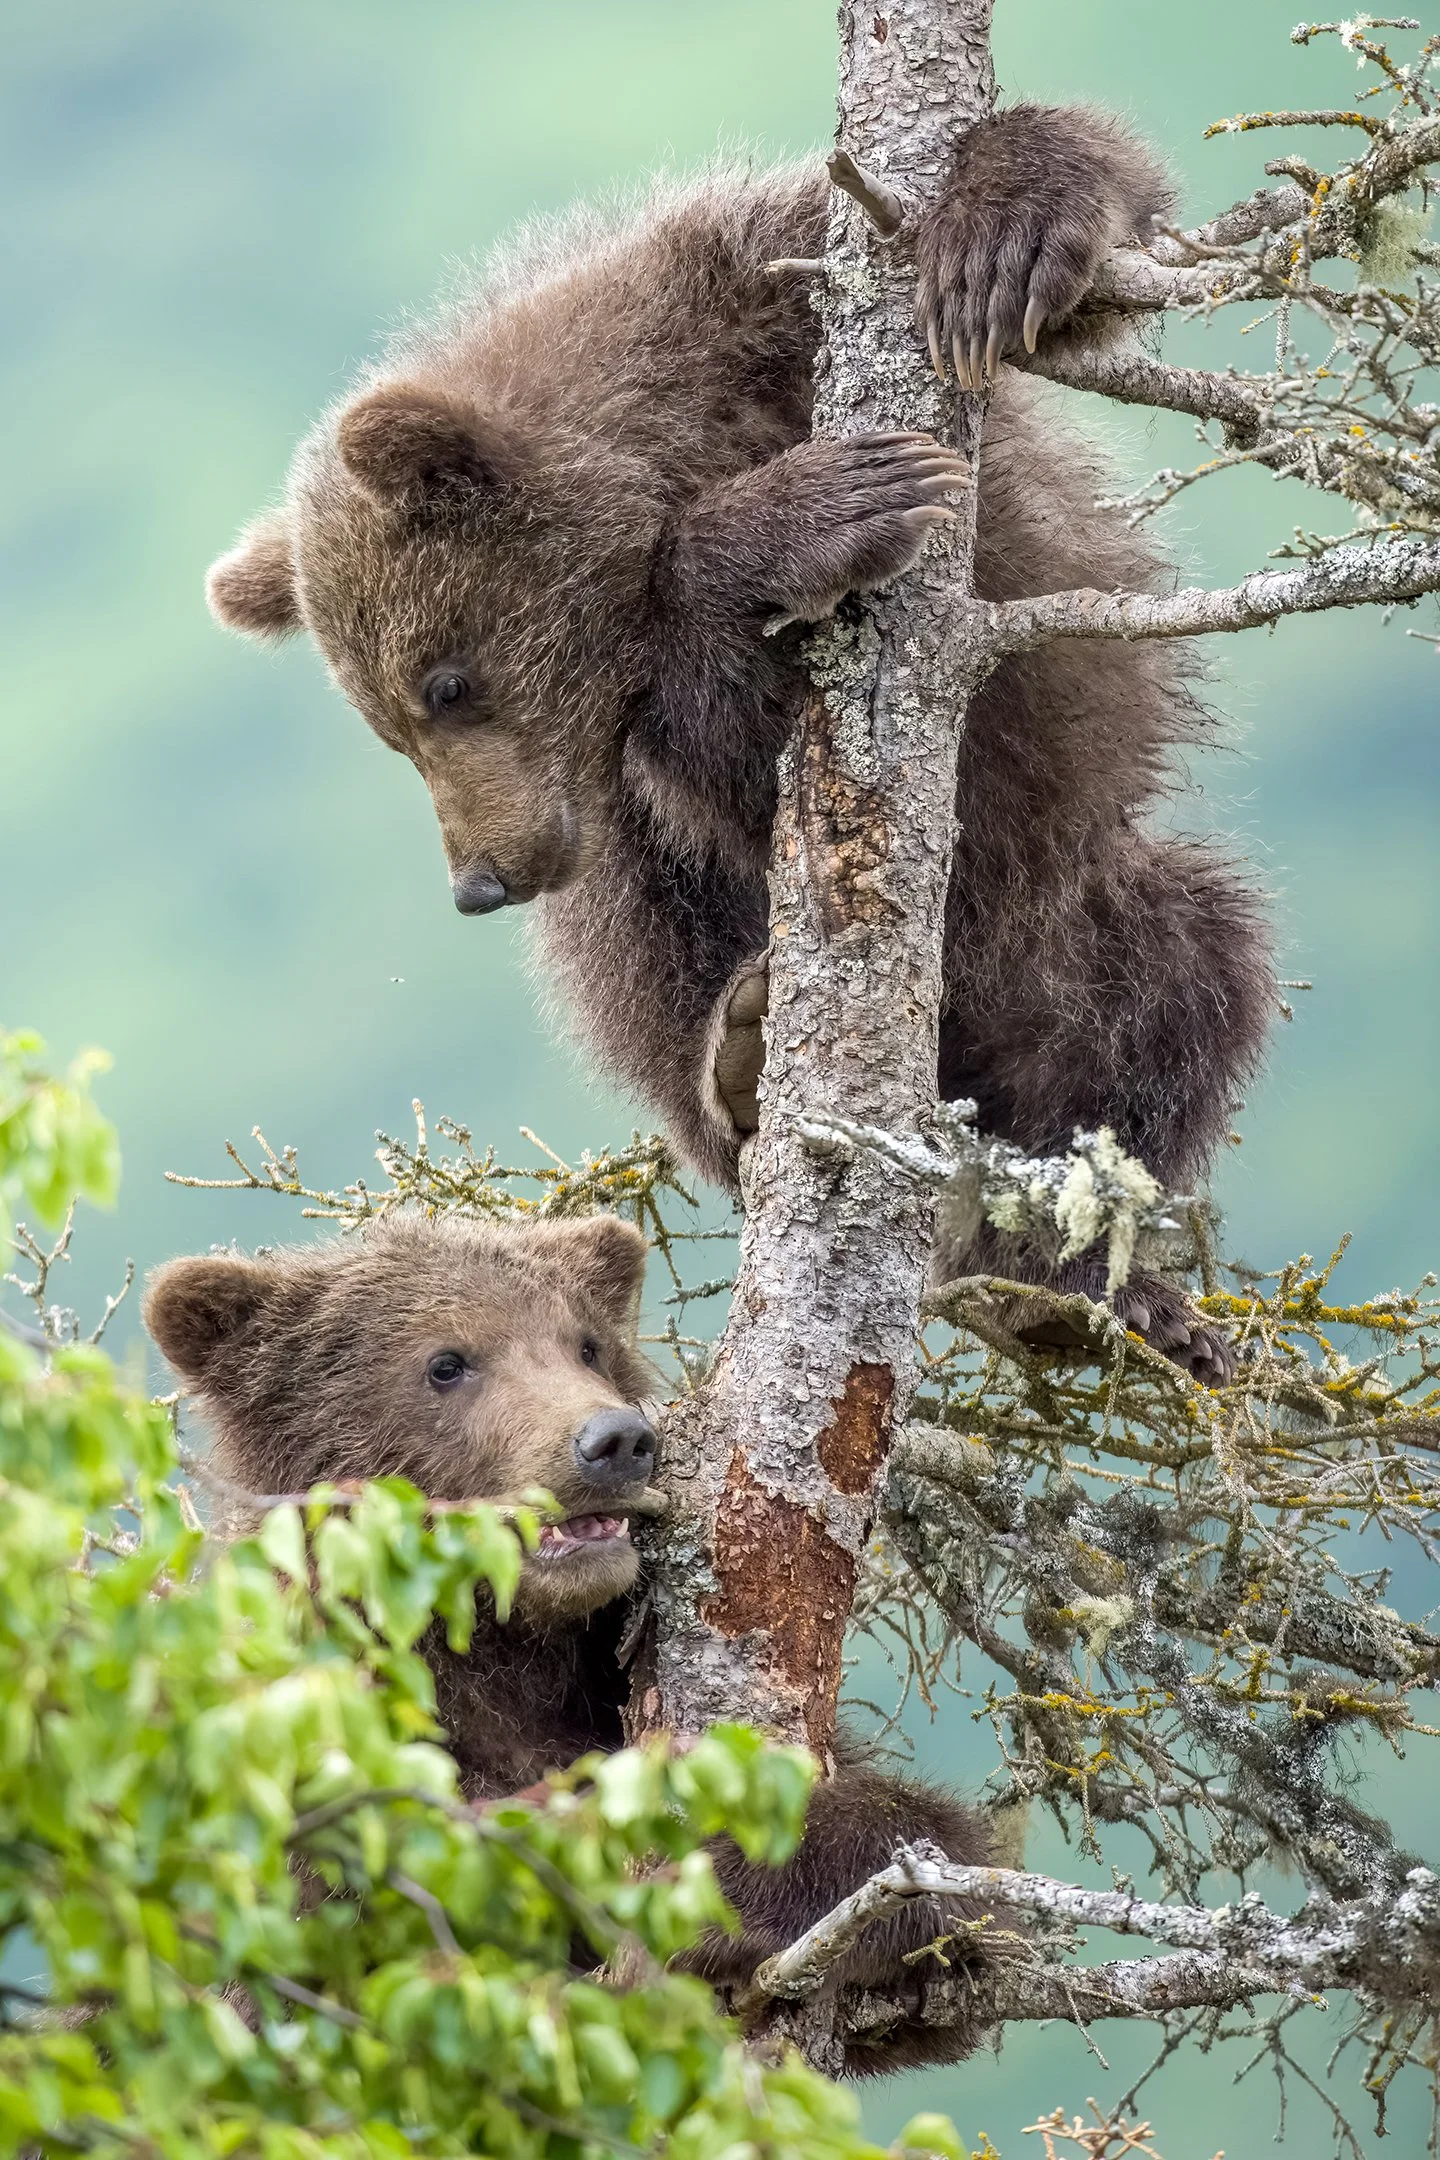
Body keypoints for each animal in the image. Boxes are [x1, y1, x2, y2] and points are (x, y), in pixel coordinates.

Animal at [205, 105, 1274, 1381]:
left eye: (446, 685)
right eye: (388, 729)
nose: (480, 880)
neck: (664, 428)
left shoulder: (767, 288)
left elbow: (1079, 300)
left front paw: (1006, 233)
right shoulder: (657, 752)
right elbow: (732, 736)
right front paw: (809, 519)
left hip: (1068, 907)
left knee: (1180, 973)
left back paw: (1094, 1280)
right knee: (652, 974)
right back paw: (755, 1059)